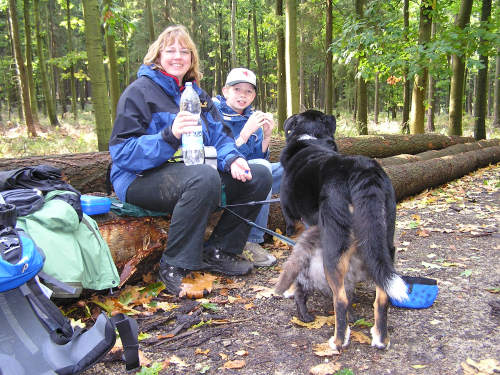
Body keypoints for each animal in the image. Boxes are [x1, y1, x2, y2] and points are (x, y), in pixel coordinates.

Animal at [276, 109, 408, 352]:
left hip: (334, 249)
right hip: (385, 243)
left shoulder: (294, 224)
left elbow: (297, 261)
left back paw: (338, 341)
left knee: (341, 300)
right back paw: (380, 339)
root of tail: (364, 172)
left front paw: (291, 290)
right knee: (382, 297)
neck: (311, 139)